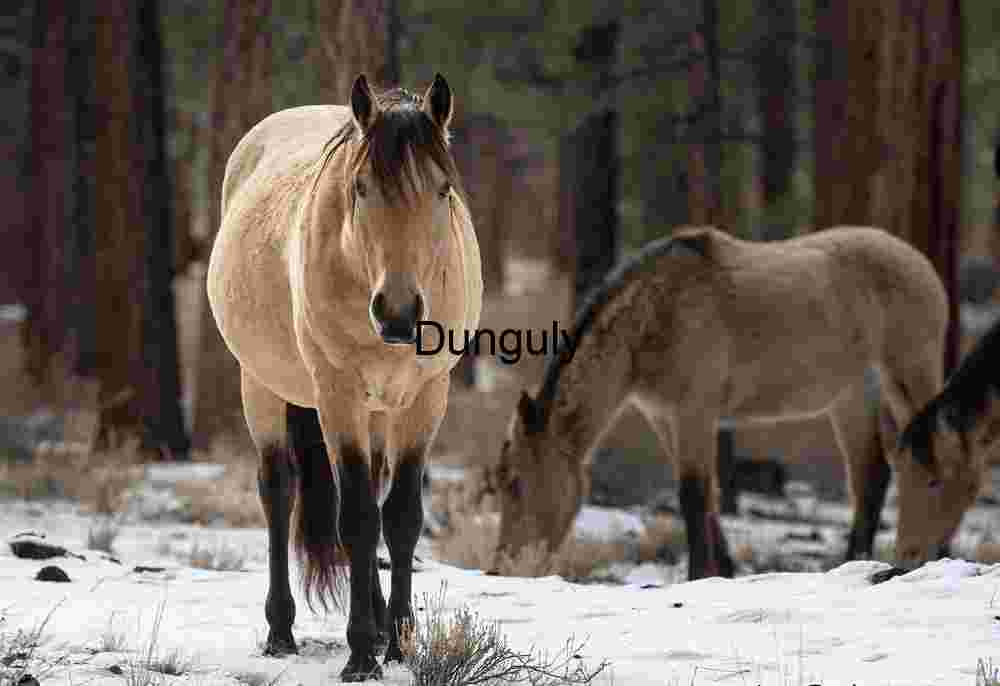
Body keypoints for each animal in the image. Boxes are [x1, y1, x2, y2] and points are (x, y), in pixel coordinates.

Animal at [206, 73, 482, 681]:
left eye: (443, 190)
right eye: (360, 188)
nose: (398, 313)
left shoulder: (426, 398)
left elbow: (399, 517)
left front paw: (398, 642)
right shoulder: (337, 396)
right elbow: (354, 518)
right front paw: (360, 654)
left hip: (381, 410)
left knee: (374, 496)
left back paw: (378, 626)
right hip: (260, 386)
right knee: (278, 490)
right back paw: (281, 629)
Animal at [480, 225, 980, 580]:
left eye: (516, 482)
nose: (503, 567)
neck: (655, 316)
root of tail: (922, 265)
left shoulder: (695, 412)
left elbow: (693, 494)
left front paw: (699, 574)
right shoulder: (666, 417)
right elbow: (708, 496)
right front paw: (723, 570)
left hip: (908, 376)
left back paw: (940, 550)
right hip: (852, 395)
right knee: (870, 476)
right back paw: (854, 560)